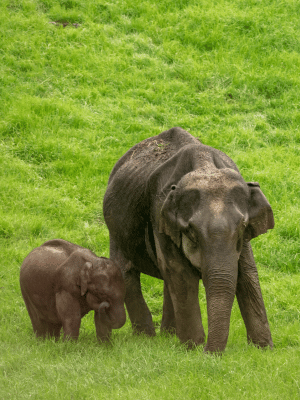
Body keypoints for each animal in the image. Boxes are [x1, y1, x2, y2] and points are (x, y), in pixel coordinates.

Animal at [103, 126, 274, 352]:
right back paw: (147, 338)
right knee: (127, 271)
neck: (205, 165)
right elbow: (180, 272)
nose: (209, 353)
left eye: (243, 226)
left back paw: (168, 335)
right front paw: (193, 347)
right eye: (192, 231)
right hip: (115, 227)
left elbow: (247, 272)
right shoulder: (159, 212)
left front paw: (263, 349)